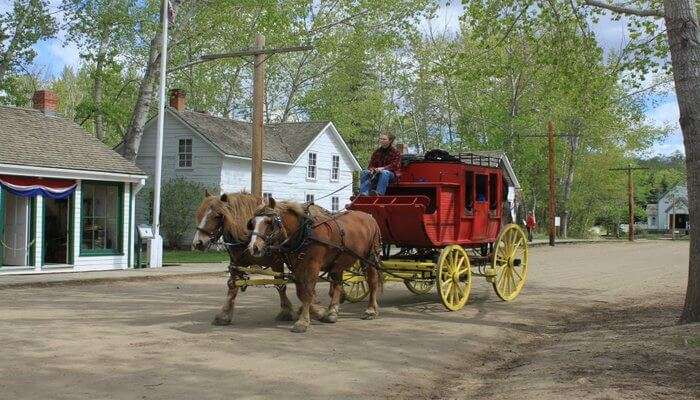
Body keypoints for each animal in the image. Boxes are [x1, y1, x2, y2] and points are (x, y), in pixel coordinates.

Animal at [193, 191, 330, 324]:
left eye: (217, 216)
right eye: (199, 214)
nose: (198, 243)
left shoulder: (277, 261)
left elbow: (280, 284)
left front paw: (288, 310)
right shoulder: (236, 263)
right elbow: (232, 286)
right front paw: (224, 314)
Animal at [249, 196, 382, 332]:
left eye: (269, 222)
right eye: (252, 223)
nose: (254, 247)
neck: (304, 233)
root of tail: (369, 217)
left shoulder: (313, 265)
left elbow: (308, 292)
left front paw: (303, 321)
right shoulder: (297, 267)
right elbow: (300, 292)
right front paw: (313, 313)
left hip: (370, 257)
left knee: (372, 281)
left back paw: (371, 310)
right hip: (339, 261)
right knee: (337, 283)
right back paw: (332, 312)